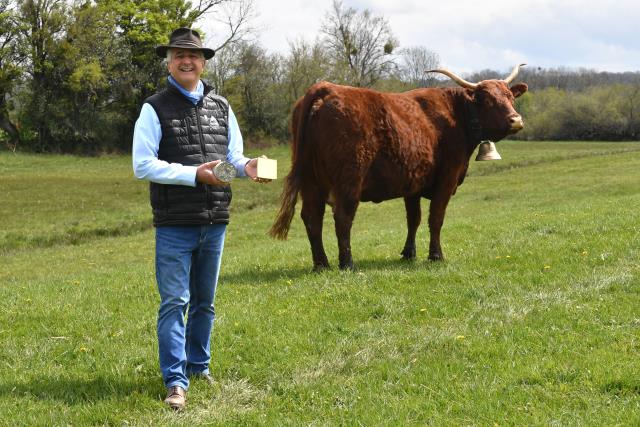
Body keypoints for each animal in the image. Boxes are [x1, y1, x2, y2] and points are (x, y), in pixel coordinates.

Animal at [268, 63, 524, 270]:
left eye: (510, 97)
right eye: (488, 100)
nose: (516, 120)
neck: (456, 115)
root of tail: (326, 87)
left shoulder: (413, 184)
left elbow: (414, 219)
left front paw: (409, 253)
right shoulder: (447, 178)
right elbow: (436, 218)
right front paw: (436, 256)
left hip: (311, 182)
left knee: (312, 218)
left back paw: (321, 264)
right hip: (348, 180)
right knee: (342, 217)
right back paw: (347, 263)